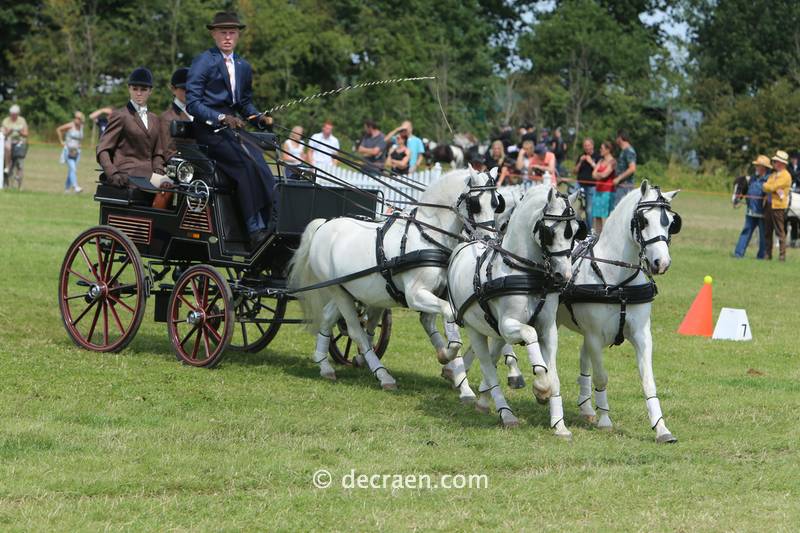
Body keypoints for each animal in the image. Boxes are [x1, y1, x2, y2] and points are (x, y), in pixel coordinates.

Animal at [288, 168, 500, 388]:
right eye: (475, 203)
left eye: (496, 203)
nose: (490, 240)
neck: (427, 235)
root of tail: (323, 225)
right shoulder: (415, 296)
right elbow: (448, 313)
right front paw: (448, 355)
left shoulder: (436, 294)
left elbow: (436, 323)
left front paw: (449, 362)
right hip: (339, 292)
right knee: (355, 331)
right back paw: (383, 375)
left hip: (346, 289)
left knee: (329, 317)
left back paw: (324, 365)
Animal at [446, 185, 584, 434]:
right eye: (549, 232)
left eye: (575, 232)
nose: (565, 276)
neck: (525, 273)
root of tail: (466, 244)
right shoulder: (509, 325)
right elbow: (530, 335)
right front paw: (541, 387)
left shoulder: (548, 329)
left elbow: (555, 375)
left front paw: (559, 425)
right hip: (475, 329)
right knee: (489, 369)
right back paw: (506, 414)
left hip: (495, 332)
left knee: (492, 361)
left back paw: (483, 402)